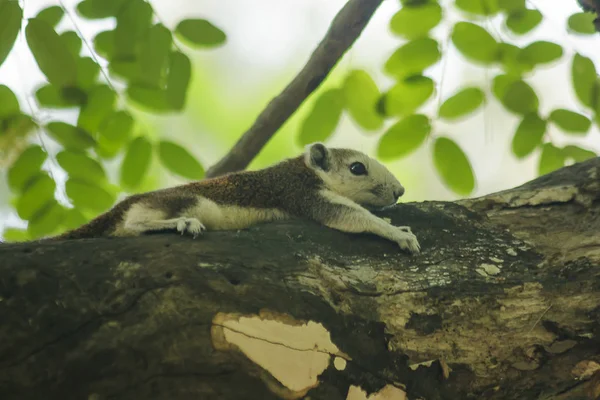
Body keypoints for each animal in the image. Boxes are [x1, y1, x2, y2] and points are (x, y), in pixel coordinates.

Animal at [47, 144, 420, 255]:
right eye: (357, 168)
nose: (400, 191)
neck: (308, 171)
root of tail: (122, 205)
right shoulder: (301, 192)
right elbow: (348, 215)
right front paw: (397, 232)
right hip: (192, 203)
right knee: (134, 225)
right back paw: (180, 222)